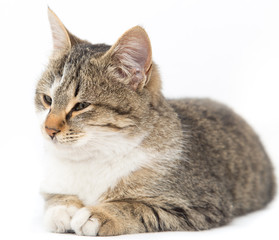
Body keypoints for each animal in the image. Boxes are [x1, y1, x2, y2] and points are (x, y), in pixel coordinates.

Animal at [34, 8, 276, 236]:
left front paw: (100, 214)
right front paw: (63, 208)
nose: (49, 129)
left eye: (81, 106)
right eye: (47, 99)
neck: (94, 157)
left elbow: (139, 207)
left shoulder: (201, 204)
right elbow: (55, 197)